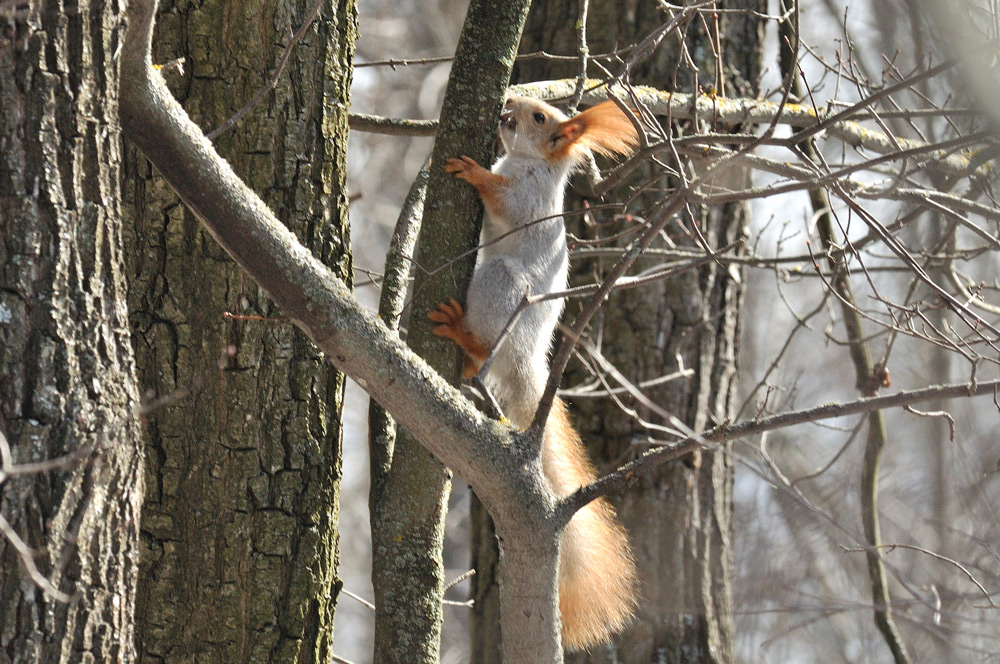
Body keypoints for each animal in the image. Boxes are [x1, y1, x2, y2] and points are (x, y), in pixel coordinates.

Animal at [426, 96, 636, 652]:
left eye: (541, 118)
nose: (508, 103)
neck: (529, 162)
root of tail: (527, 361)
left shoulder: (529, 202)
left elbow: (505, 201)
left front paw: (474, 172)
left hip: (498, 285)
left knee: (484, 344)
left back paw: (462, 334)